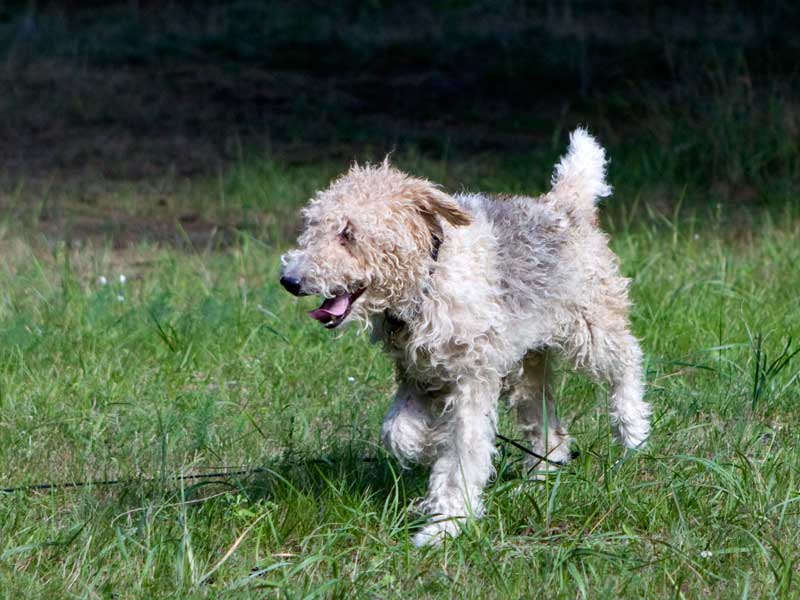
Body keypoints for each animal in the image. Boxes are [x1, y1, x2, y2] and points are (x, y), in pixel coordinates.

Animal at [279, 129, 650, 546]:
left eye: (348, 233)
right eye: (312, 226)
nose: (289, 281)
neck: (430, 280)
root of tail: (563, 205)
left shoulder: (472, 382)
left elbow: (460, 458)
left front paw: (445, 526)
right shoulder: (417, 376)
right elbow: (397, 432)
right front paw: (425, 446)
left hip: (590, 330)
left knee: (628, 362)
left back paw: (633, 432)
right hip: (527, 367)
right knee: (549, 430)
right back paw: (539, 479)